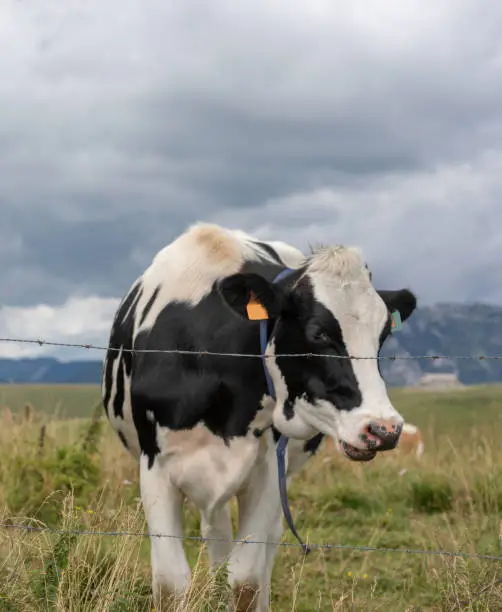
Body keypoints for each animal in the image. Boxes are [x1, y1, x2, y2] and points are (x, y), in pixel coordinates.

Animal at [101, 222, 416, 608]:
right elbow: (171, 584)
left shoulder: (267, 471)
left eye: (383, 335)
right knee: (217, 534)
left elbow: (246, 580)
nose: (384, 429)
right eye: (318, 332)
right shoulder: (155, 468)